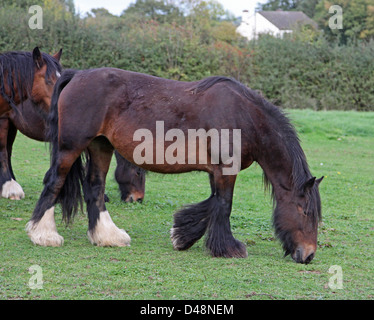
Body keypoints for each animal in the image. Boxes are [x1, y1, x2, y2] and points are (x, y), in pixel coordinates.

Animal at [27, 67, 322, 262]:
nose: (308, 255)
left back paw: (107, 236)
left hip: (101, 147)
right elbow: (223, 205)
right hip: (71, 147)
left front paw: (182, 236)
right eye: (305, 212)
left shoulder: (215, 172)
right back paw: (43, 235)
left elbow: (212, 204)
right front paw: (228, 248)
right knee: (54, 182)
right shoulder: (226, 170)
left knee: (95, 188)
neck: (243, 116)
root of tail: (77, 75)